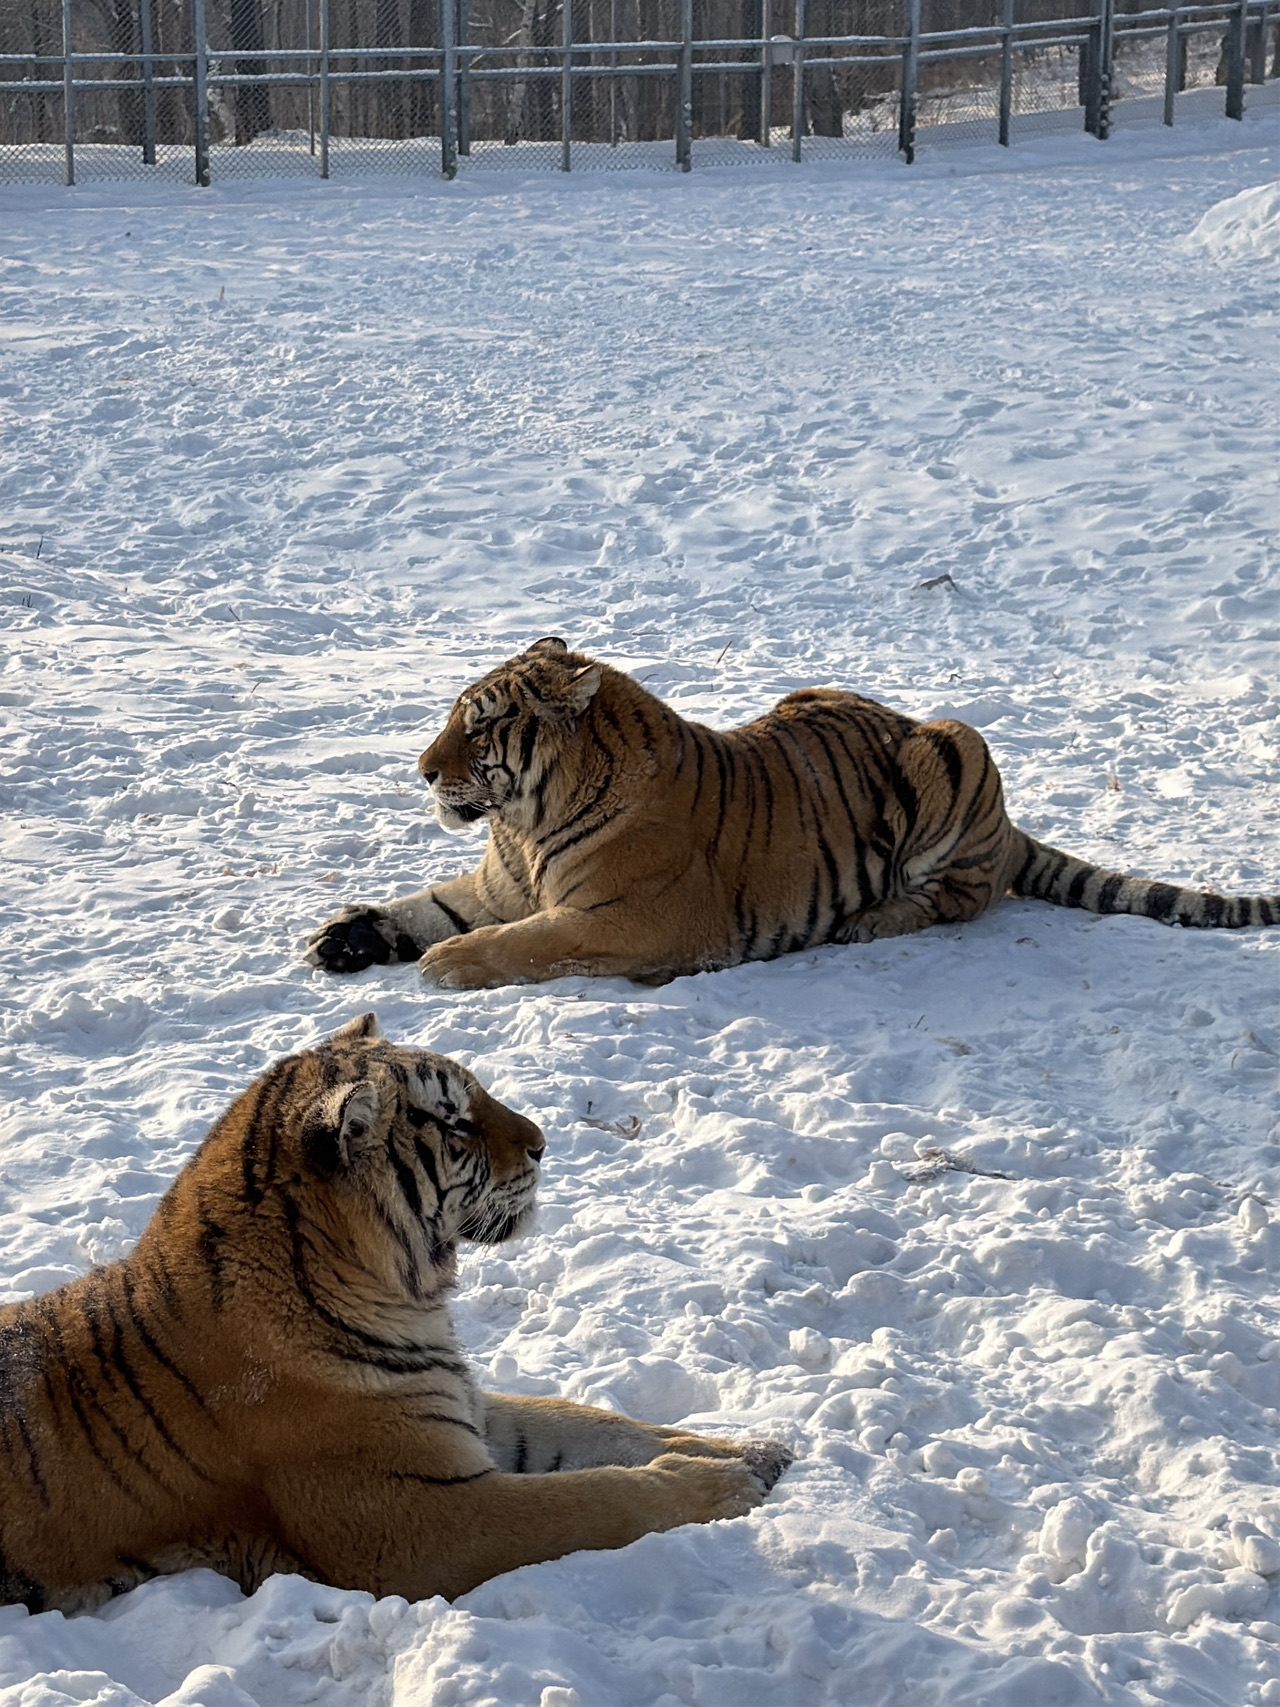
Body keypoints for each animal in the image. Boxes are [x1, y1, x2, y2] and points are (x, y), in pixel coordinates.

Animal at [0, 1013, 791, 1614]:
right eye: (456, 1123)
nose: (543, 1142)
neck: (408, 1299)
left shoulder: (462, 1411)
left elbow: (600, 1425)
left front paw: (754, 1451)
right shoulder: (421, 1517)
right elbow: (590, 1498)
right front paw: (724, 1486)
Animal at [304, 638, 1279, 991]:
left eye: (481, 723)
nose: (422, 771)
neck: (526, 819)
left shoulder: (635, 918)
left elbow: (522, 942)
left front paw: (446, 964)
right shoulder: (497, 882)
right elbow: (421, 906)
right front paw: (340, 939)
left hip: (953, 746)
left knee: (958, 897)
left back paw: (869, 920)